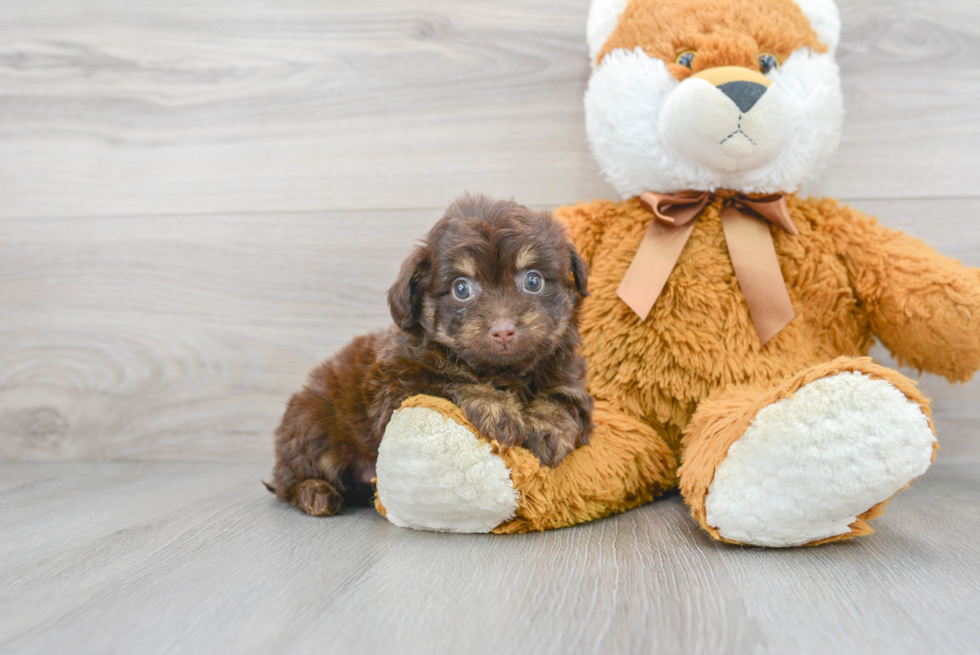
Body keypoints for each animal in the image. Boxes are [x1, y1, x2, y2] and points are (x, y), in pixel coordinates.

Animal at [264, 195, 592, 516]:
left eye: (533, 281)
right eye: (461, 289)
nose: (503, 330)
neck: (501, 371)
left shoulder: (569, 378)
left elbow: (561, 400)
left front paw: (548, 428)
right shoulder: (394, 390)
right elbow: (449, 381)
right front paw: (495, 406)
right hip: (312, 428)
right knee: (287, 482)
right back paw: (315, 494)